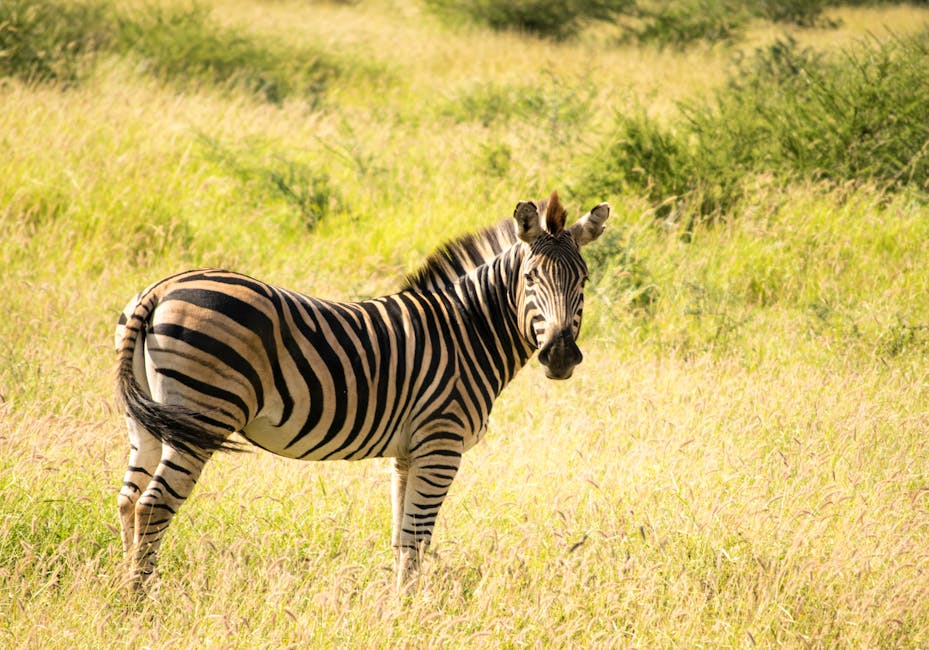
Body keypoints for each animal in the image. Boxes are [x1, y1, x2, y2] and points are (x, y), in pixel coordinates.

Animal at [114, 191, 610, 591]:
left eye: (584, 280)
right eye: (530, 278)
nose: (560, 356)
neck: (468, 331)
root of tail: (160, 289)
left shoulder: (409, 453)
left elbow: (403, 537)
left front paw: (401, 603)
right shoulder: (441, 444)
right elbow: (416, 538)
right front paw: (409, 611)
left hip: (147, 420)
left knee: (129, 500)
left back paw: (122, 589)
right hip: (201, 417)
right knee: (154, 505)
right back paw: (142, 598)